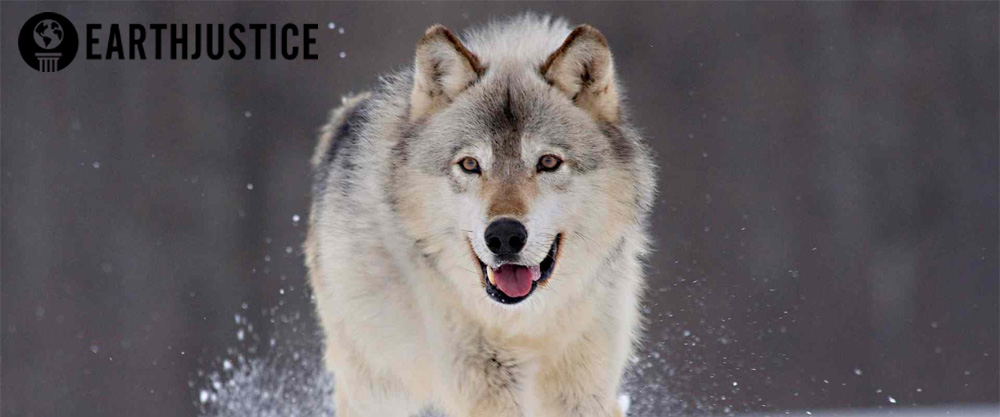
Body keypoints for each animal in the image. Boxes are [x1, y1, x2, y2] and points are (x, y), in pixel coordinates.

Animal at [304, 14, 656, 417]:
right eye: (470, 164)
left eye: (549, 162)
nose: (504, 235)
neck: (525, 324)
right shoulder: (484, 383)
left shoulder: (582, 388)